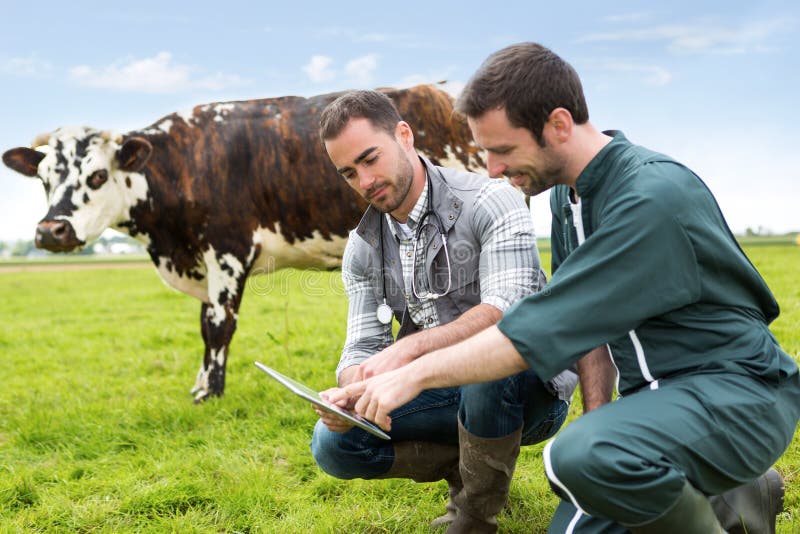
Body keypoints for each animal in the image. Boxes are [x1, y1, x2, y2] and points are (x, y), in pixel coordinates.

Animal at [3, 85, 484, 402]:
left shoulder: (228, 250)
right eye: (44, 179)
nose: (50, 231)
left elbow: (220, 326)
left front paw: (211, 394)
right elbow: (204, 324)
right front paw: (200, 384)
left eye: (98, 176)